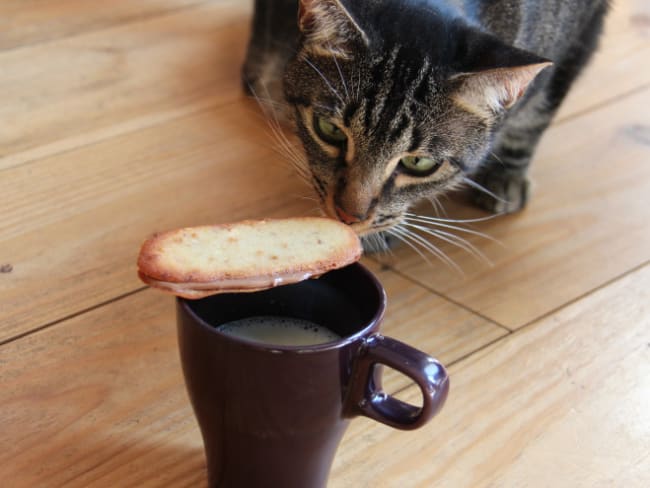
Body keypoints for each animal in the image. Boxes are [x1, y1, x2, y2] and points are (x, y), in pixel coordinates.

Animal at [240, 0, 604, 241]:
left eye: (419, 163)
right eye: (329, 131)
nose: (348, 217)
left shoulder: (578, 35)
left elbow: (534, 117)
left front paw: (507, 176)